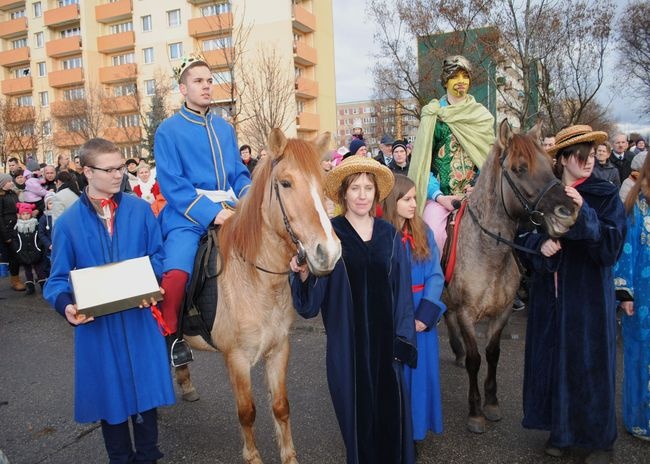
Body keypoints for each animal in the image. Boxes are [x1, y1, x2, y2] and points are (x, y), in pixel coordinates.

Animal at [175, 130, 342, 464]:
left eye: (322, 183)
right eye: (286, 183)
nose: (328, 253)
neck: (257, 281)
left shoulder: (279, 349)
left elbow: (280, 407)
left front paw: (289, 456)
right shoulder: (237, 360)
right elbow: (247, 412)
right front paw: (252, 456)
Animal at [442, 121, 576, 434]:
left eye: (551, 165)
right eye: (519, 168)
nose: (568, 212)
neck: (488, 252)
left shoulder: (501, 312)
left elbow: (493, 353)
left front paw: (491, 403)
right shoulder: (467, 314)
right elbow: (476, 359)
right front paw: (475, 411)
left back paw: (456, 351)